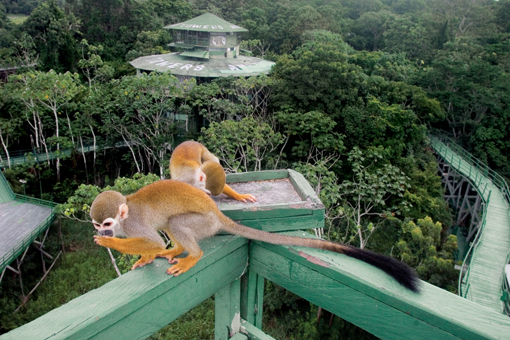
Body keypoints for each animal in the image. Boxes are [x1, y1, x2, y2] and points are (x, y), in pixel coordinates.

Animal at [89, 181, 420, 292]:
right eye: (96, 223)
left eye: (107, 223)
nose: (103, 231)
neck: (124, 219)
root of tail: (217, 212)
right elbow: (152, 244)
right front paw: (145, 257)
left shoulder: (133, 225)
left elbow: (153, 239)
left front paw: (113, 243)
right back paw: (176, 250)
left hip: (205, 222)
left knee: (176, 222)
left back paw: (191, 255)